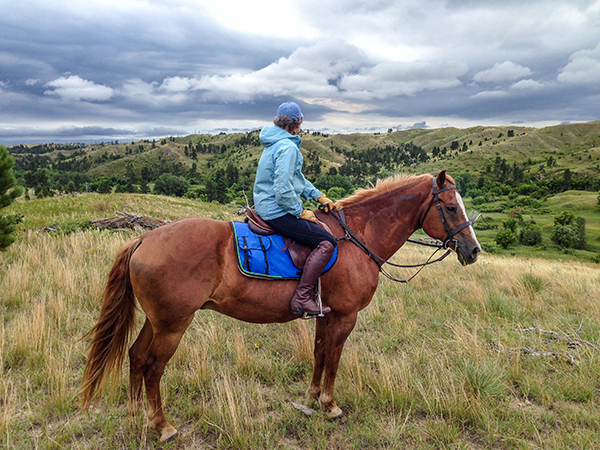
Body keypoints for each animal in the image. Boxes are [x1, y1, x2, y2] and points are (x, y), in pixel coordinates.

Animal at [81, 171, 482, 442]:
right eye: (450, 207)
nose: (474, 250)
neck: (357, 238)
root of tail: (145, 237)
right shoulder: (345, 317)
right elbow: (334, 360)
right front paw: (330, 405)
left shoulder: (325, 315)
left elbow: (319, 355)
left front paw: (311, 397)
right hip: (173, 324)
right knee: (152, 367)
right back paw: (162, 426)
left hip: (157, 320)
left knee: (135, 356)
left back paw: (136, 414)